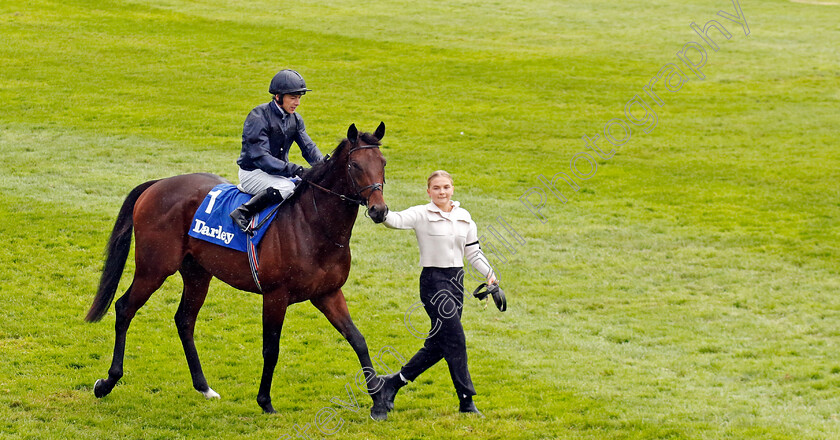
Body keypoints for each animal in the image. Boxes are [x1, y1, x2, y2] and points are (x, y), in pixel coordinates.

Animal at [83, 123, 392, 420]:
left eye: (383, 162)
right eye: (355, 165)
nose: (379, 210)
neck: (314, 223)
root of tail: (157, 184)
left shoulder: (328, 293)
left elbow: (358, 340)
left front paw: (378, 401)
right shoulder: (276, 296)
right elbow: (271, 349)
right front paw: (265, 402)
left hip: (197, 274)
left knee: (184, 320)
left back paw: (204, 387)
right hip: (154, 268)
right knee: (124, 308)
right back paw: (107, 383)